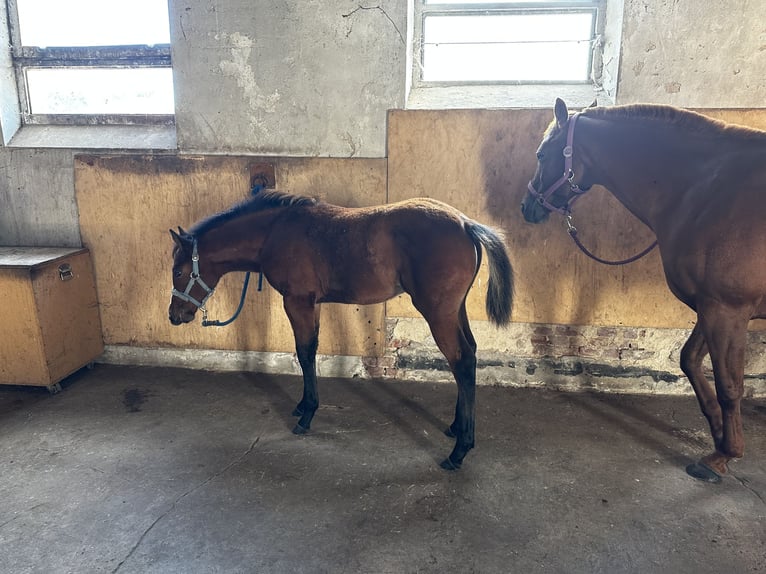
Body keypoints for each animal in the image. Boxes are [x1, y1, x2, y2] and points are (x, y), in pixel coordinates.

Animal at [169, 191, 516, 470]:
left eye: (178, 271)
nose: (175, 315)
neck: (276, 232)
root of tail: (466, 224)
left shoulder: (297, 301)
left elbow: (304, 352)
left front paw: (307, 415)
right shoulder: (313, 303)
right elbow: (309, 350)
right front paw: (302, 406)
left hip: (438, 313)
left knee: (461, 360)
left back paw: (459, 452)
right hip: (454, 310)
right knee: (469, 355)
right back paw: (457, 428)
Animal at [524, 99, 766, 486]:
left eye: (542, 154)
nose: (526, 207)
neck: (706, 192)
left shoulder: (728, 309)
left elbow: (730, 385)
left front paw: (722, 456)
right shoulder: (710, 305)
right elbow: (689, 360)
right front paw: (716, 430)